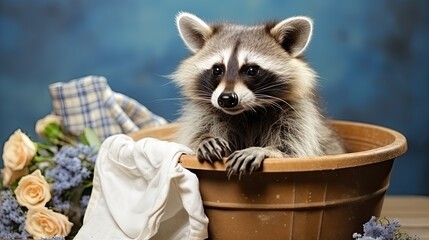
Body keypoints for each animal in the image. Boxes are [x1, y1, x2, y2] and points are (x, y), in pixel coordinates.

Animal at [172, 12, 342, 177]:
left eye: (252, 70)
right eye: (217, 69)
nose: (226, 99)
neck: (248, 112)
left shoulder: (297, 115)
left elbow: (296, 151)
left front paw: (265, 150)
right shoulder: (203, 113)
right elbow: (190, 139)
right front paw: (204, 139)